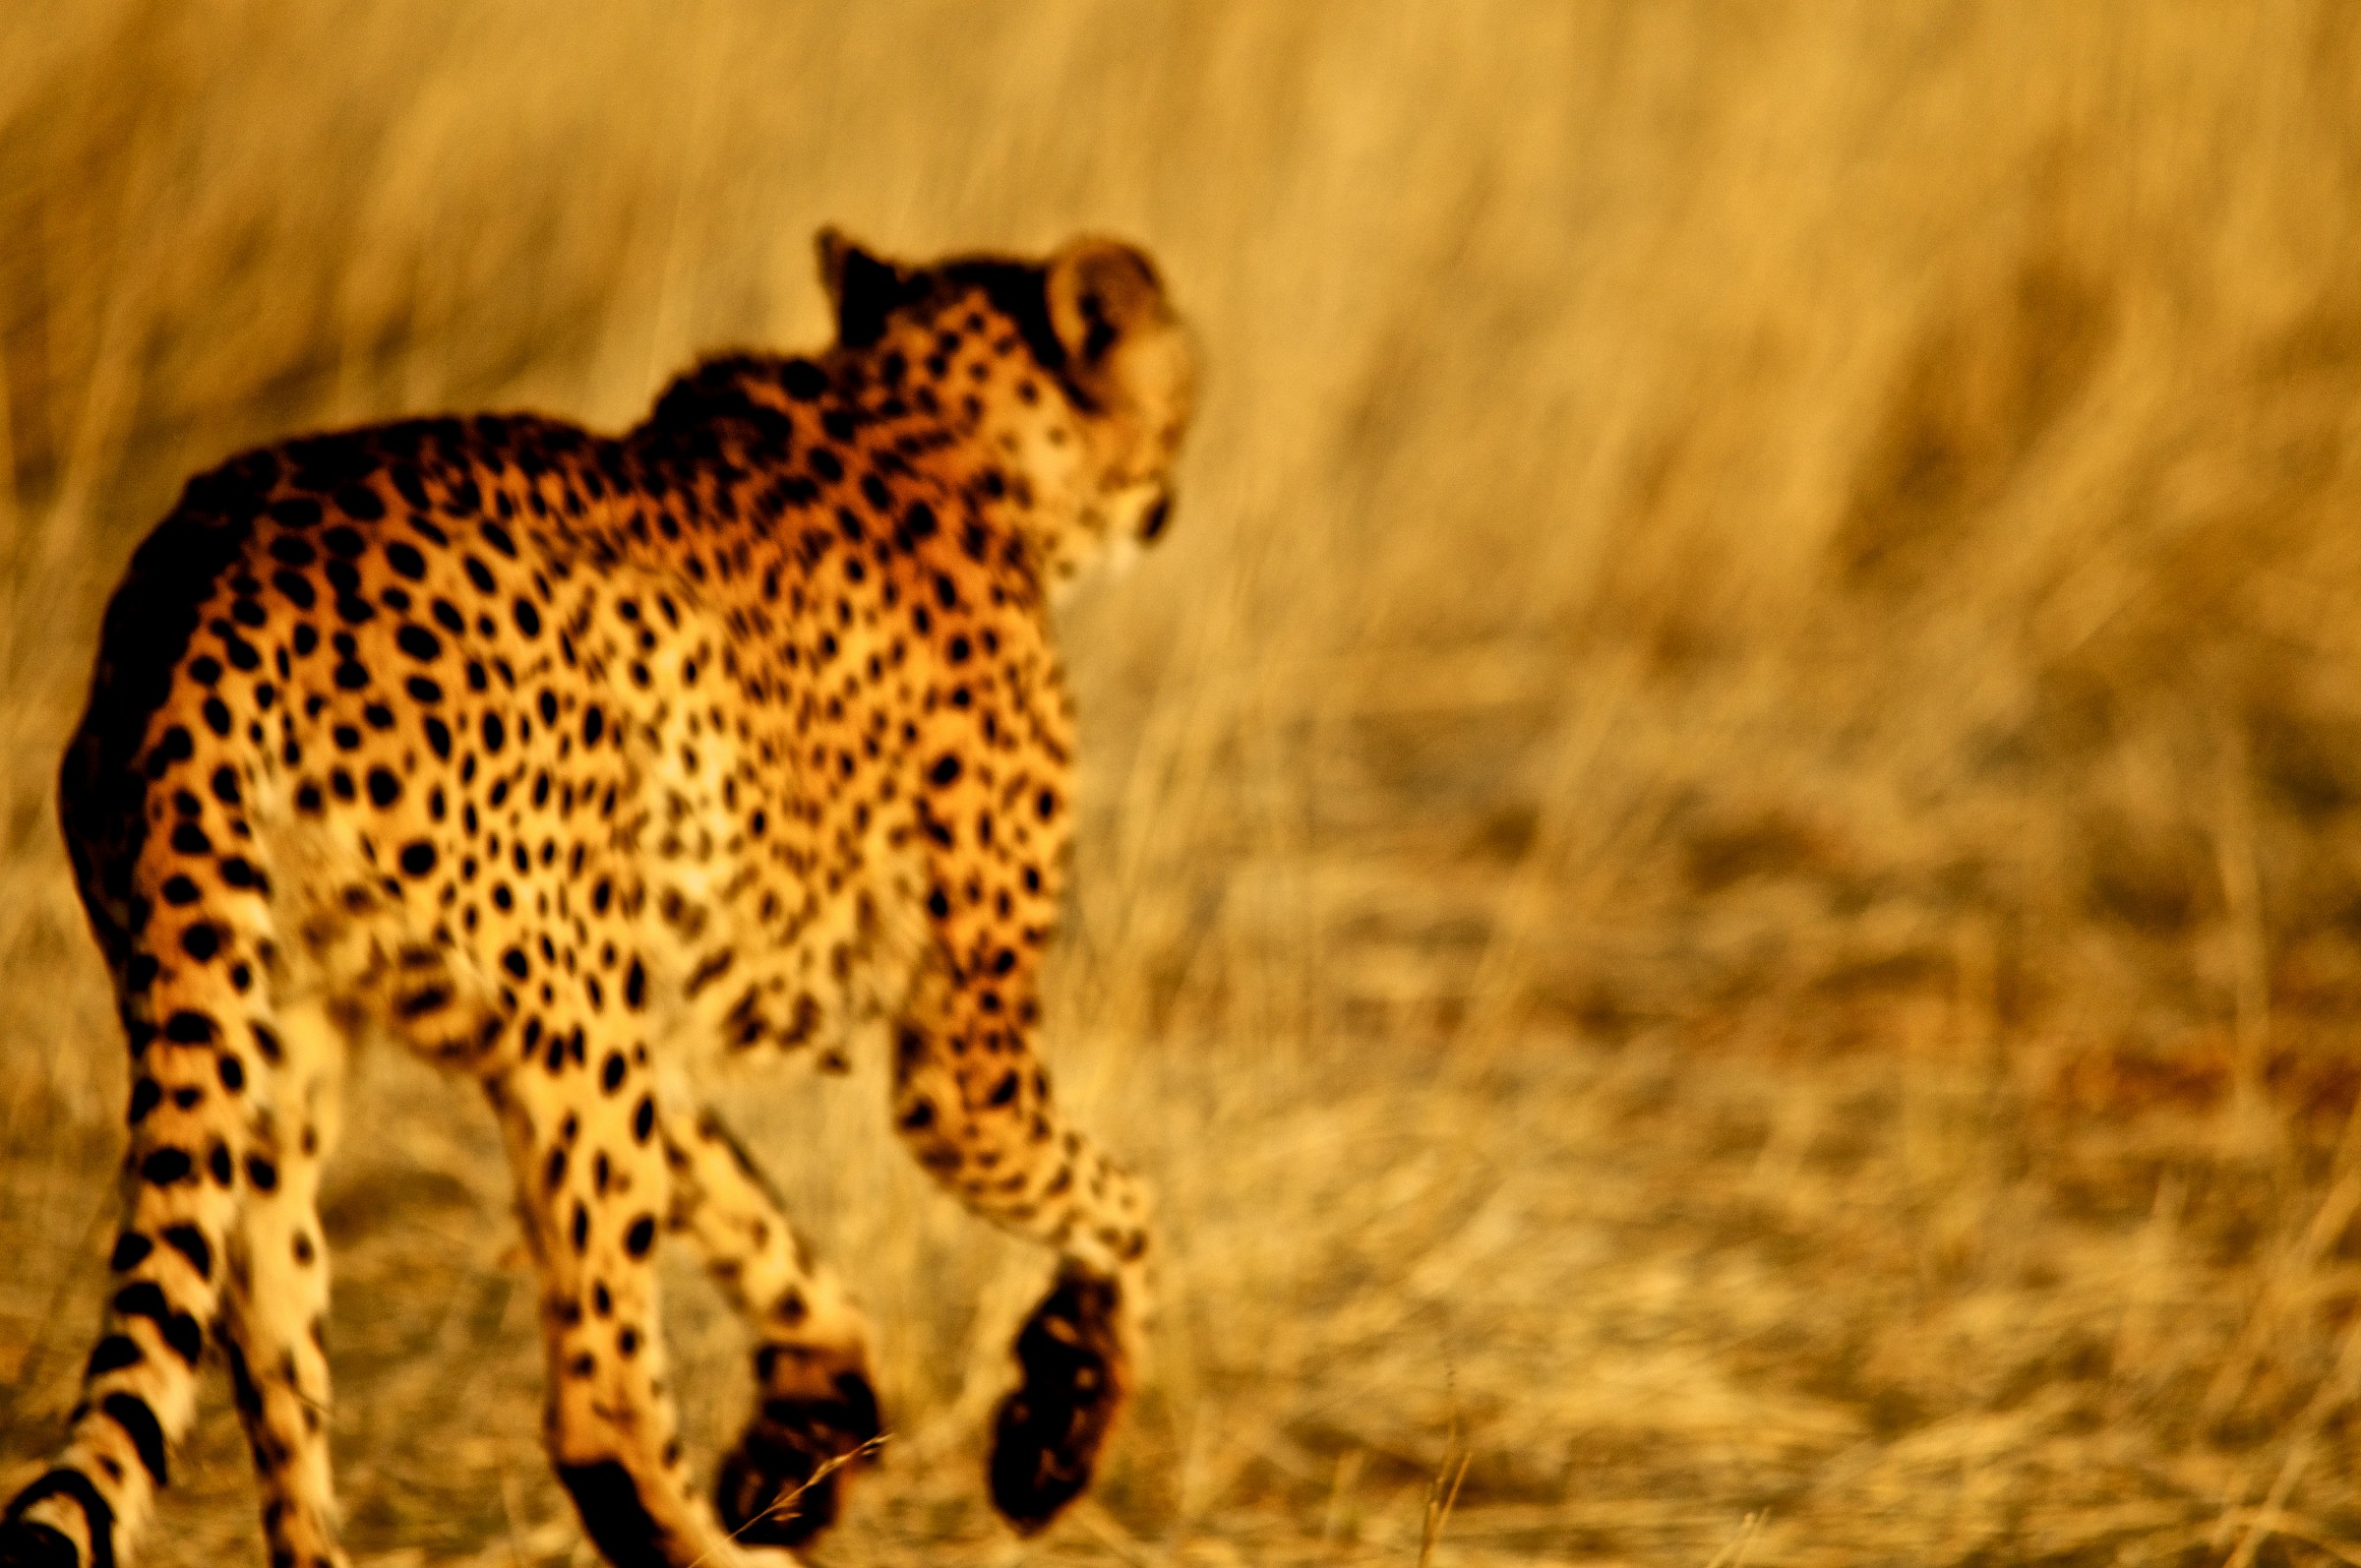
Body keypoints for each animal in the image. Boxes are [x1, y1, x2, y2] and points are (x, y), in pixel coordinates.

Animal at [0, 229, 1194, 1568]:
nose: (1169, 487)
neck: (925, 409)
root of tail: (213, 582)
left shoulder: (642, 1015)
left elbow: (759, 1217)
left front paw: (811, 1419)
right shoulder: (959, 1065)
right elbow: (1124, 1205)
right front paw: (1059, 1417)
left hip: (274, 1039)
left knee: (277, 1379)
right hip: (557, 1038)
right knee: (599, 1402)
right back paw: (730, 1552)